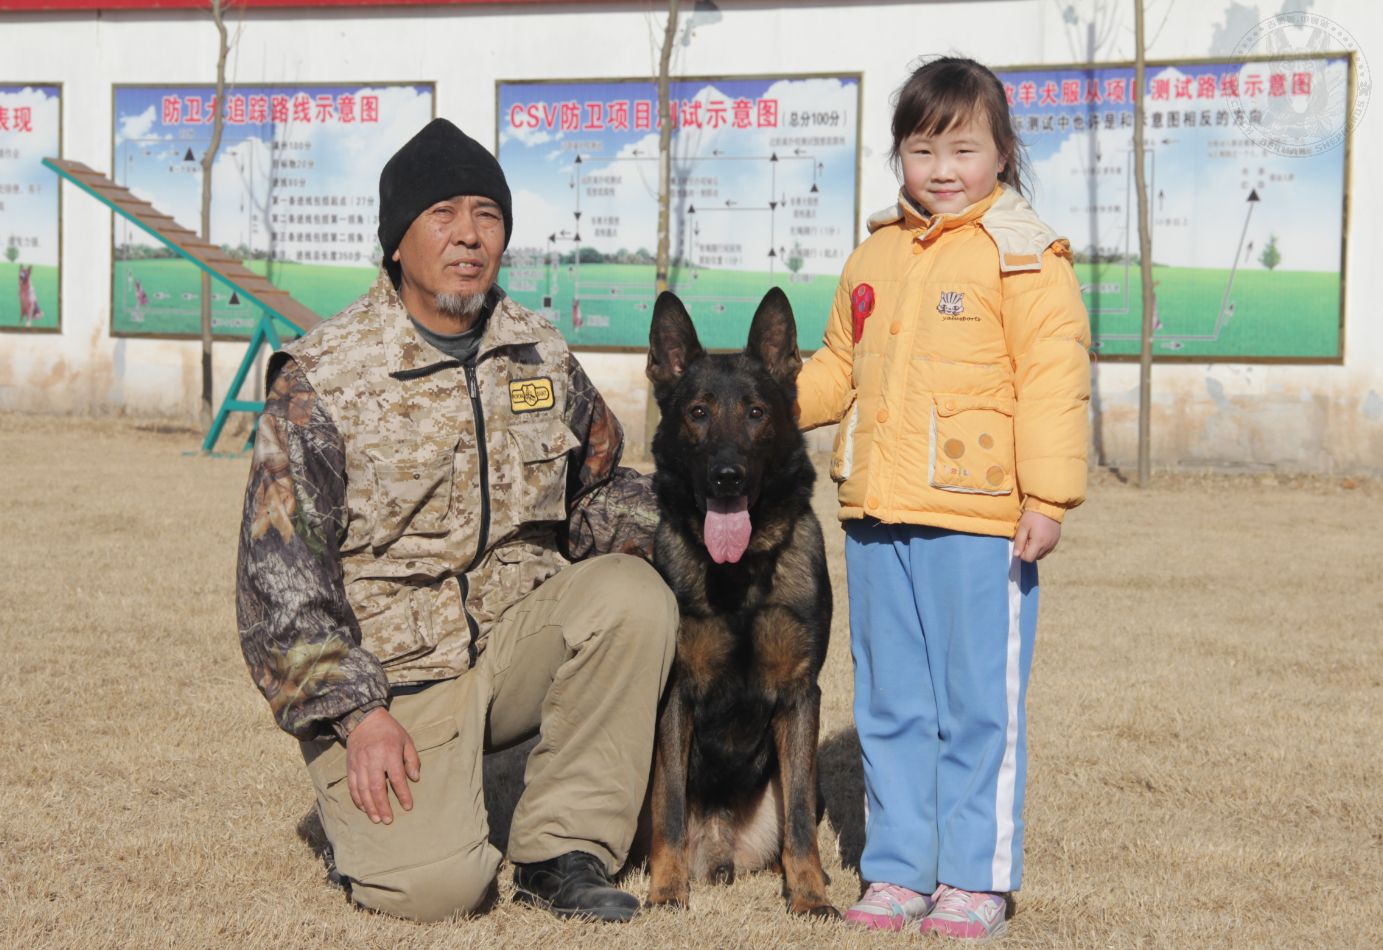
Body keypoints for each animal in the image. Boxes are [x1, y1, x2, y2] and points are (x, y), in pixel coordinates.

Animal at [644, 287, 837, 918]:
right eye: (698, 413)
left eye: (756, 413)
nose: (727, 477)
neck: (740, 575)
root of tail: (720, 850)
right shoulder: (675, 694)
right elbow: (669, 808)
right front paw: (666, 891)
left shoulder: (800, 695)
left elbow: (798, 818)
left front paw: (809, 896)